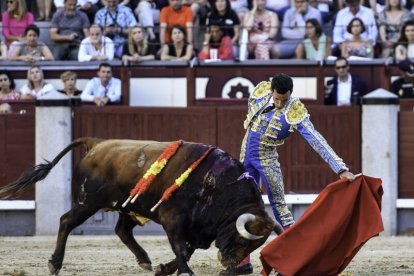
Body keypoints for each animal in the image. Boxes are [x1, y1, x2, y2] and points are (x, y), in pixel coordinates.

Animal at [0, 139, 282, 274]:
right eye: (242, 239)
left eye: (254, 246)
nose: (230, 265)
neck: (216, 184)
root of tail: (96, 145)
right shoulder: (173, 219)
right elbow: (181, 247)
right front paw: (184, 272)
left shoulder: (194, 227)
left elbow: (187, 249)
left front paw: (164, 269)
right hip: (88, 202)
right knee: (66, 221)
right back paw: (55, 264)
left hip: (129, 206)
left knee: (122, 230)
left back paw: (145, 261)